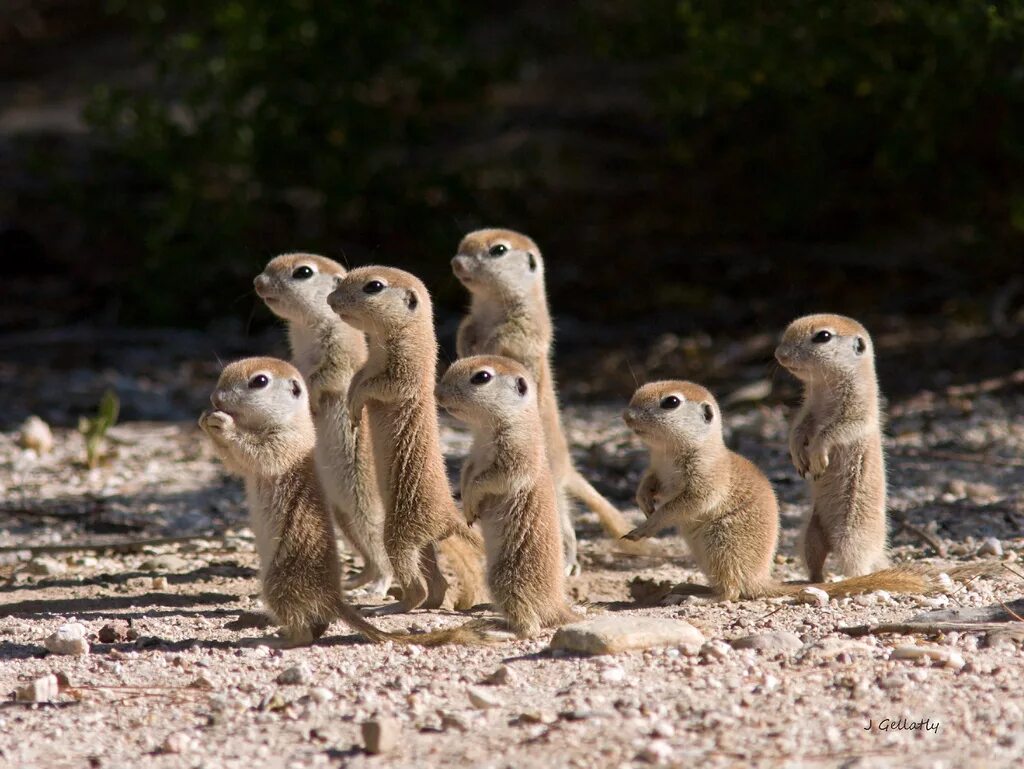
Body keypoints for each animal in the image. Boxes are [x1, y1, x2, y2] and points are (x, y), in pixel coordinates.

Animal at [252, 252, 391, 593]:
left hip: (363, 506)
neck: (306, 329)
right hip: (342, 516)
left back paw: (378, 586)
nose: (258, 282)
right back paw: (356, 580)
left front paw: (309, 402)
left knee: (381, 552)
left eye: (303, 272)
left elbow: (325, 378)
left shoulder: (338, 354)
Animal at [327, 268, 487, 618]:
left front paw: (356, 407)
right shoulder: (365, 366)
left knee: (417, 585)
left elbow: (380, 387)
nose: (330, 299)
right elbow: (357, 380)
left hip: (399, 532)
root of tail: (449, 515)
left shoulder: (405, 371)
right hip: (422, 542)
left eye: (373, 286)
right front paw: (351, 406)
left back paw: (390, 606)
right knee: (438, 585)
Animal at [434, 354, 585, 638]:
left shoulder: (516, 453)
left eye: (481, 377)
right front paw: (466, 506)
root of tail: (558, 607)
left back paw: (498, 630)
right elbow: (468, 472)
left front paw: (471, 503)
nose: (438, 393)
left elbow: (490, 479)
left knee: (531, 627)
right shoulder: (473, 455)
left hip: (505, 580)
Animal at [622, 380, 958, 602]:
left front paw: (646, 526)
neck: (668, 452)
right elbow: (649, 483)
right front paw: (643, 501)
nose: (627, 416)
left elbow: (683, 504)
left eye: (671, 402)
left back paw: (699, 596)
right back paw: (688, 587)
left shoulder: (706, 480)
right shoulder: (656, 469)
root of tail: (761, 580)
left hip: (721, 547)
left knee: (732, 592)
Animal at [774, 315, 888, 581]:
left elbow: (834, 431)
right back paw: (814, 581)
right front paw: (798, 457)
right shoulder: (808, 410)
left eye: (823, 336)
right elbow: (798, 429)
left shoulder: (857, 411)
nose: (779, 355)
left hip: (852, 537)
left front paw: (817, 457)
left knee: (857, 565)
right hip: (810, 534)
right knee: (815, 560)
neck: (823, 388)